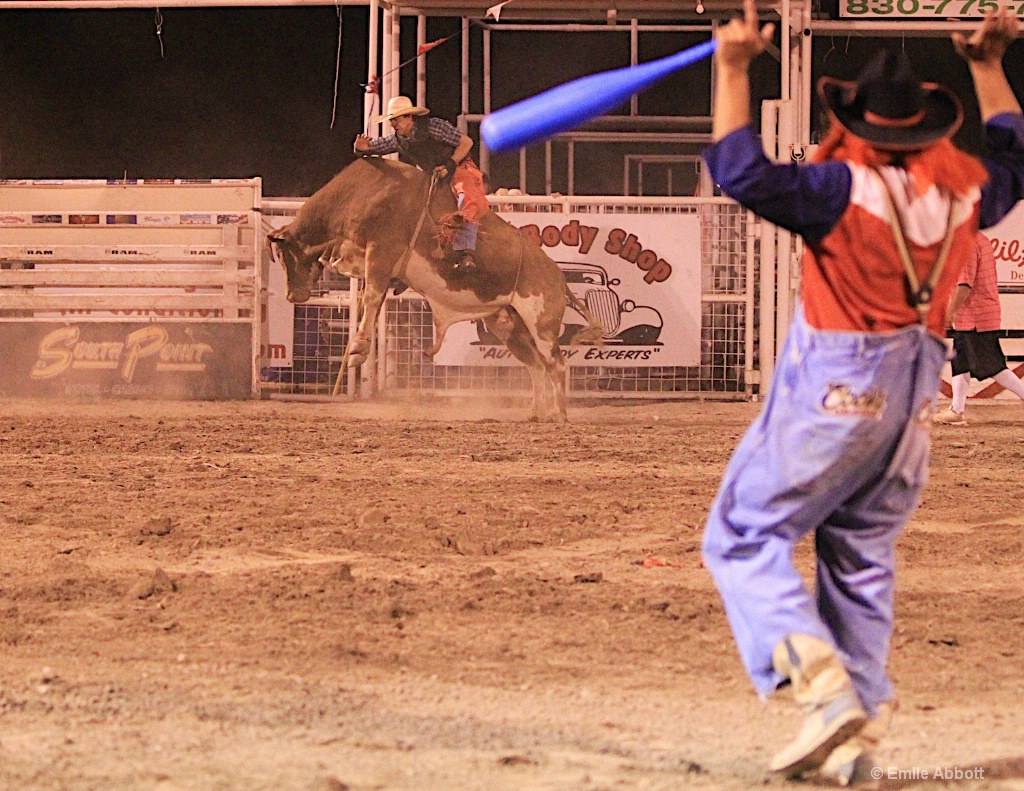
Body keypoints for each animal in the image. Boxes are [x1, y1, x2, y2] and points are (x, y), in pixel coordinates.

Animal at [268, 156, 602, 424]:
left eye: (284, 256)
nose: (292, 296)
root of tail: (558, 276)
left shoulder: (381, 252)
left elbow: (373, 297)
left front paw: (358, 350)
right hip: (509, 327)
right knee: (535, 366)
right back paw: (535, 413)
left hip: (541, 324)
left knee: (556, 364)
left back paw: (559, 414)